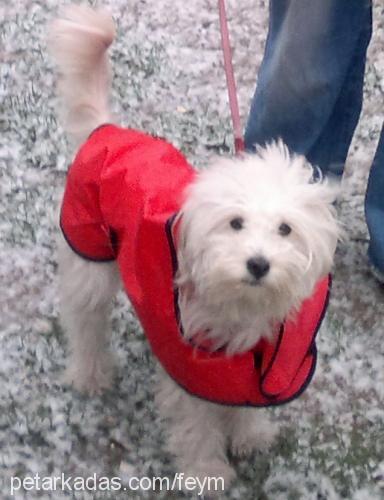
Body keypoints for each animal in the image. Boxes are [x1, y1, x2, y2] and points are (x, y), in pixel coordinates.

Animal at [49, 4, 340, 492]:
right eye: (235, 223)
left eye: (285, 229)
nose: (258, 264)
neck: (239, 306)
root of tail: (106, 130)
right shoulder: (191, 368)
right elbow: (197, 426)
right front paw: (207, 473)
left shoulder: (247, 367)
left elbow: (242, 403)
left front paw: (250, 436)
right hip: (89, 258)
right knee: (84, 322)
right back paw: (90, 374)